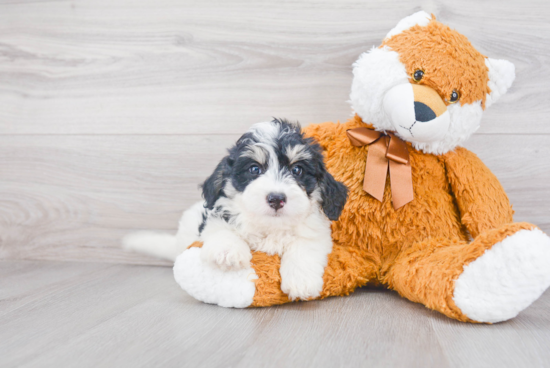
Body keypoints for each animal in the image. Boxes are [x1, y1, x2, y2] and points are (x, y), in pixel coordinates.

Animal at [127, 119, 348, 304]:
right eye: (254, 169)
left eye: (297, 170)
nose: (276, 198)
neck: (271, 226)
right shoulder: (216, 218)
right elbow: (223, 230)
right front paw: (228, 252)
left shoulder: (316, 232)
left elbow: (303, 246)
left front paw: (301, 281)